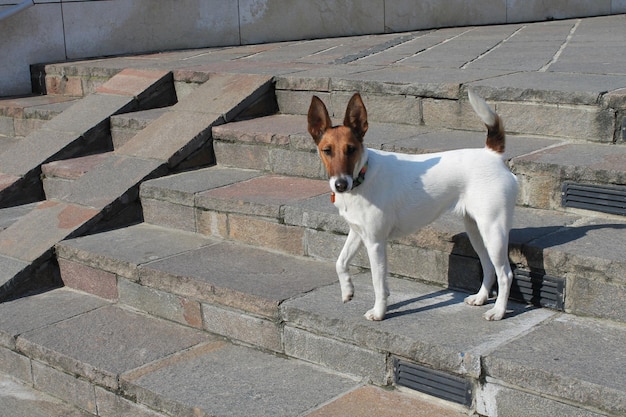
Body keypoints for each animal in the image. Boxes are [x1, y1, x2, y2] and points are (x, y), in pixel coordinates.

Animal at [308, 89, 516, 320]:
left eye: (351, 149)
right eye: (327, 150)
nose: (341, 185)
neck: (363, 175)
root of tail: (492, 154)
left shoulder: (375, 242)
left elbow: (378, 282)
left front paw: (379, 311)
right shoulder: (358, 232)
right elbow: (340, 262)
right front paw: (347, 290)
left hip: (493, 230)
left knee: (505, 274)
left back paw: (498, 310)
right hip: (476, 230)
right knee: (489, 266)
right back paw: (480, 298)